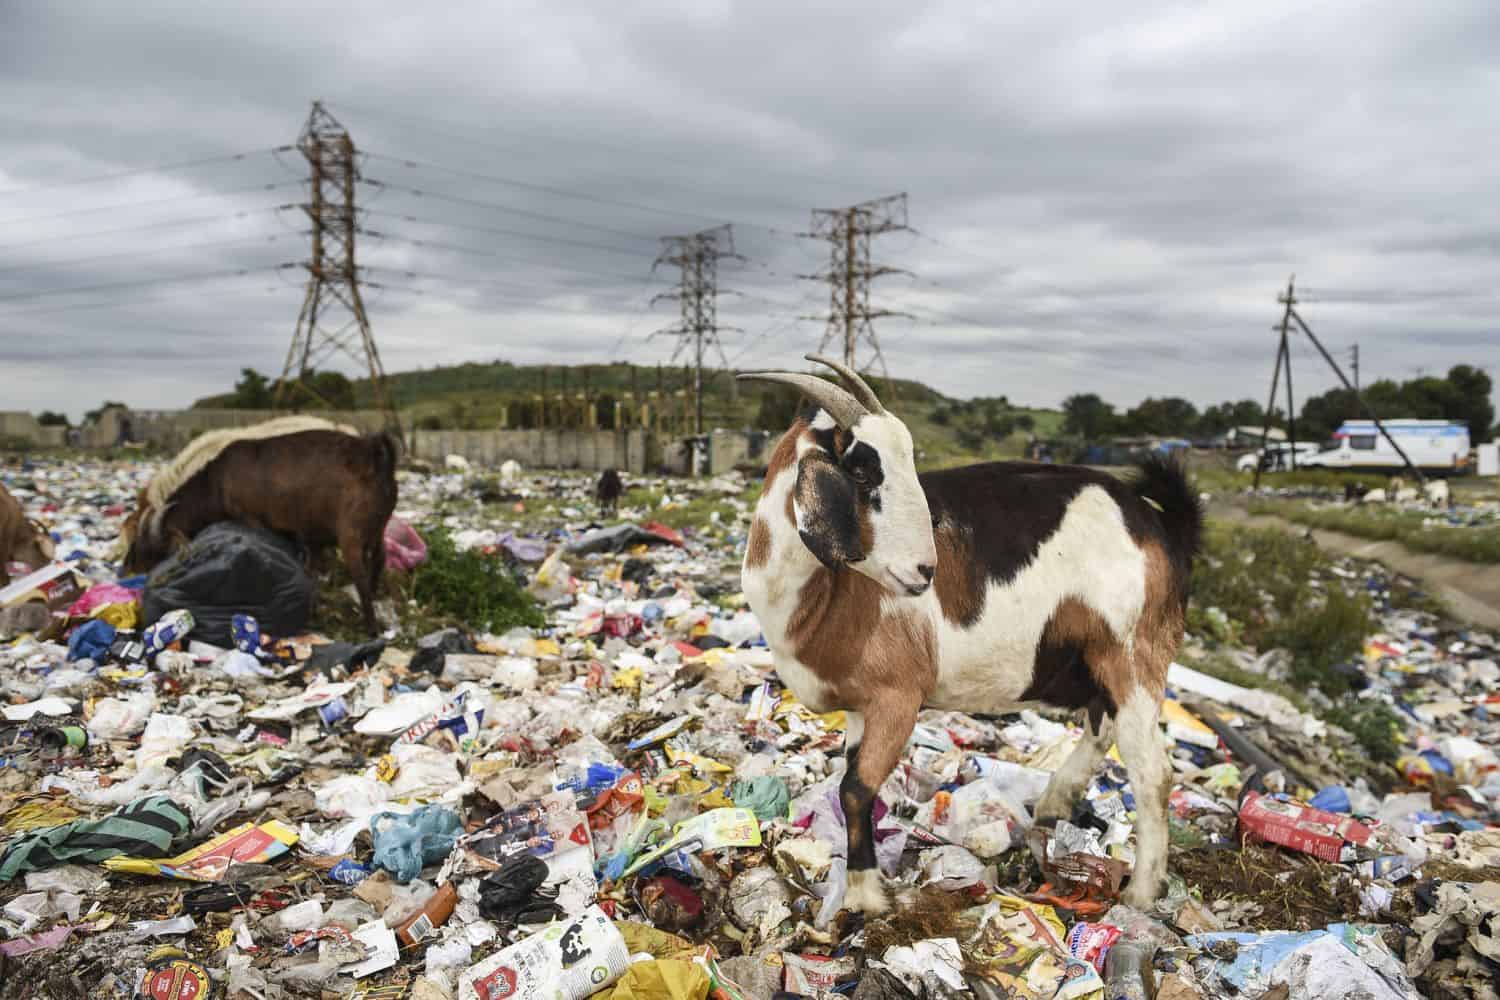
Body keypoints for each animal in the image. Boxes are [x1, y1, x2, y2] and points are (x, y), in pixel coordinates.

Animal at [121, 430, 399, 634]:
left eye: (153, 548)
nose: (128, 568)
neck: (216, 482)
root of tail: (374, 454)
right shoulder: (303, 535)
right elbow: (311, 569)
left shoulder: (253, 518)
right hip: (377, 529)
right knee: (379, 559)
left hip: (351, 534)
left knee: (360, 576)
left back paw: (371, 627)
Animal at [739, 355, 1202, 913]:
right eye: (863, 467)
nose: (925, 571)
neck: (818, 597)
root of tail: (1157, 521)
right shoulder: (858, 708)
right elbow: (849, 780)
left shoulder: (898, 695)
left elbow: (855, 788)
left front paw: (868, 895)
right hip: (1099, 660)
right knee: (1102, 727)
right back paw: (1053, 807)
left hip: (1132, 650)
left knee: (1151, 770)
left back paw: (1141, 891)